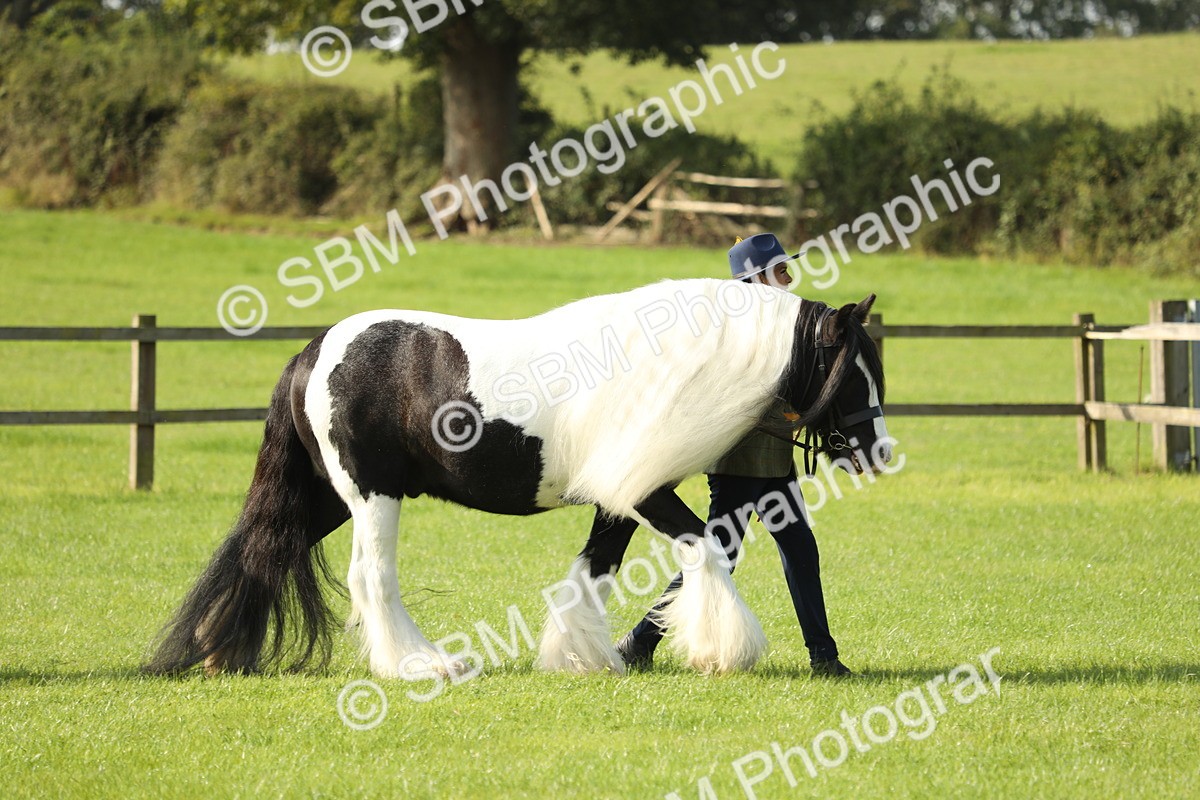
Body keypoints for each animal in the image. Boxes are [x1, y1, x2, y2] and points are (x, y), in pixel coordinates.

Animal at [144, 278, 889, 680]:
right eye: (853, 370)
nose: (878, 451)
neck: (673, 362)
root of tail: (313, 351)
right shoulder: (645, 492)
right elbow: (704, 549)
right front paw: (723, 649)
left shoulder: (615, 498)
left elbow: (593, 572)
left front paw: (583, 657)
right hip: (373, 497)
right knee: (371, 577)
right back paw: (420, 664)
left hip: (329, 498)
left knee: (266, 551)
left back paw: (219, 651)